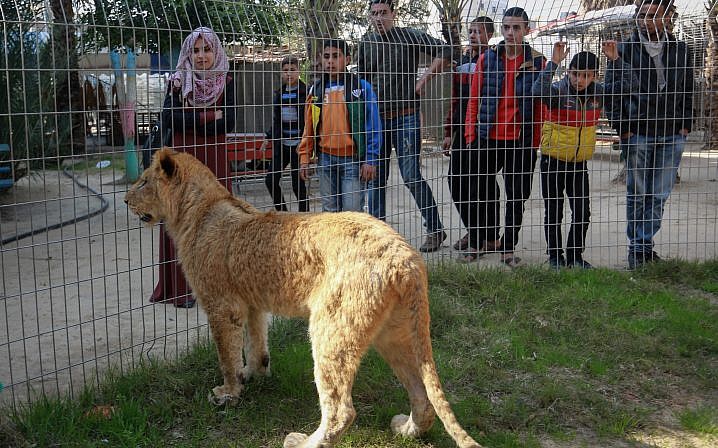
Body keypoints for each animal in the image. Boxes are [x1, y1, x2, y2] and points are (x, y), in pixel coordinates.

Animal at [125, 150, 484, 448]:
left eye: (143, 181)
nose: (127, 200)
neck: (199, 209)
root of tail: (405, 257)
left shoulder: (221, 304)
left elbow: (226, 354)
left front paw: (228, 393)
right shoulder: (251, 303)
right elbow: (256, 343)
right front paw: (254, 373)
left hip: (331, 329)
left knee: (341, 410)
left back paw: (302, 442)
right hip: (393, 332)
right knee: (422, 397)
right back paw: (406, 429)